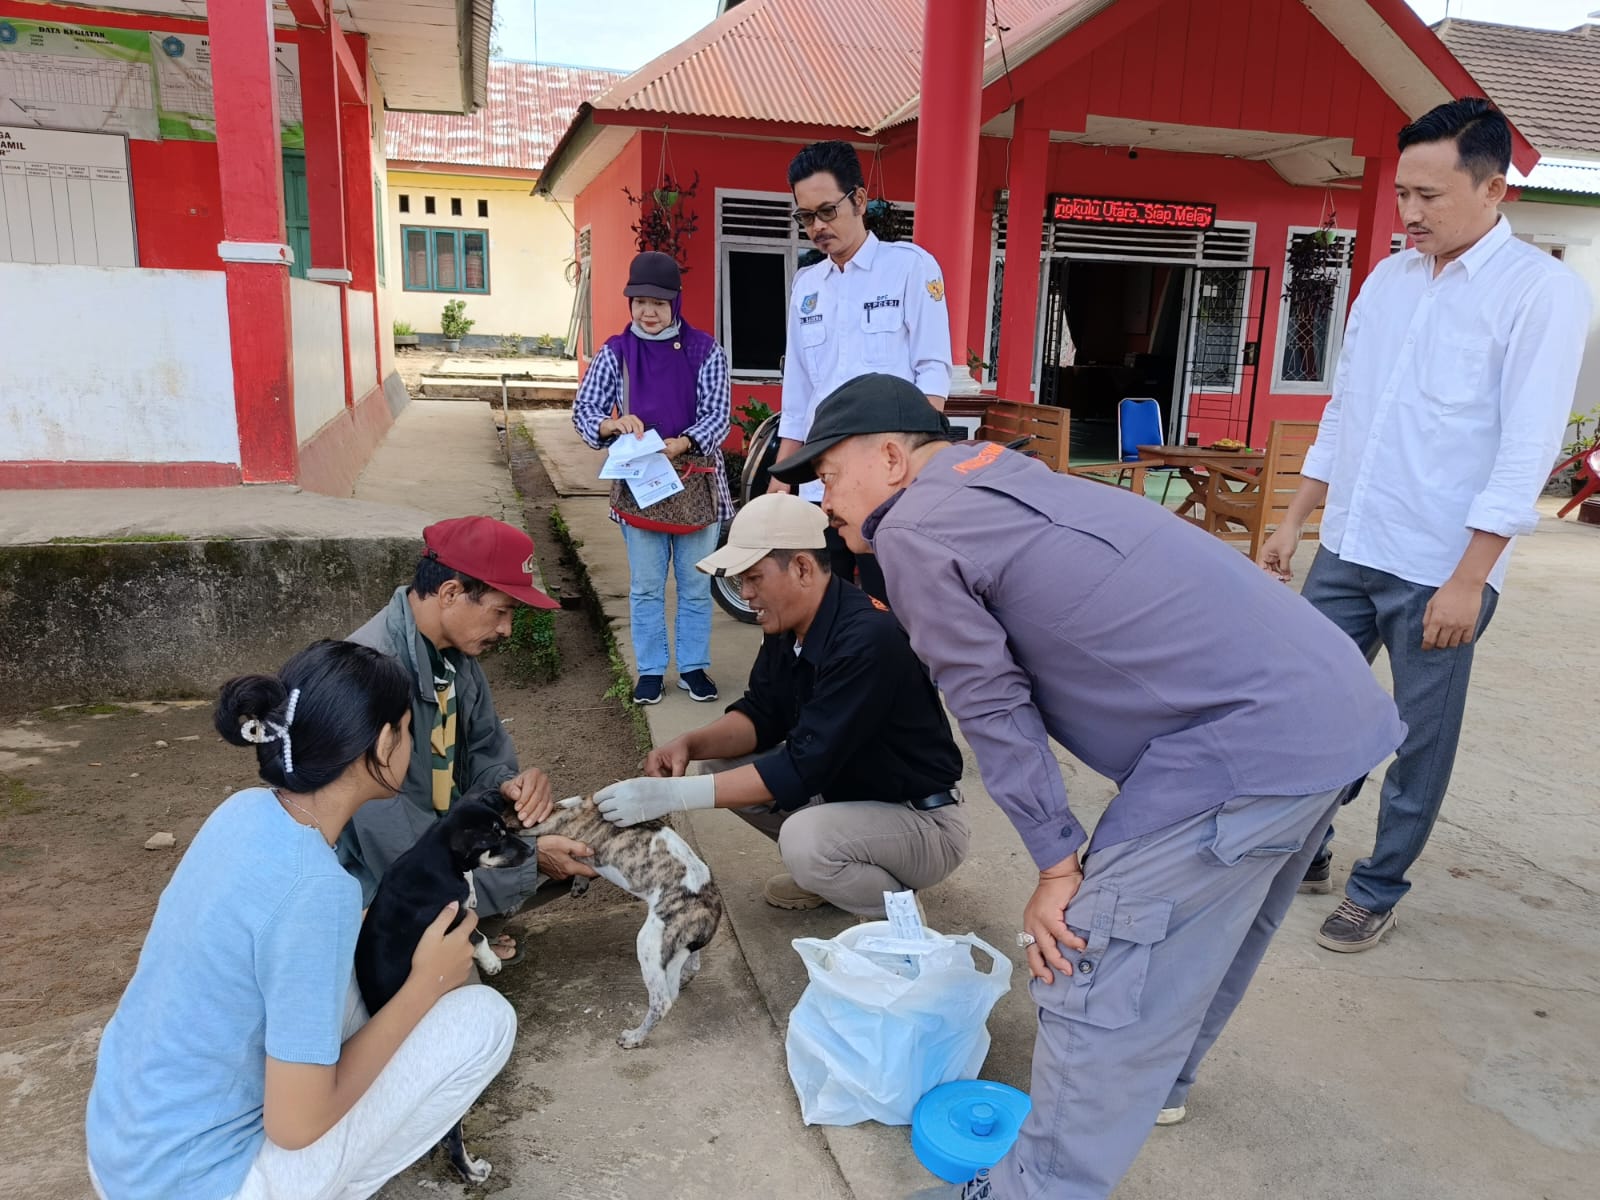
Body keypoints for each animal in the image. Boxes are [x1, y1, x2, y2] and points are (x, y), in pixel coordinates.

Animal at [355, 803, 531, 1190]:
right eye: (496, 836)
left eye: (504, 826)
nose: (530, 850)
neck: (438, 856)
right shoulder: (448, 920)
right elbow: (477, 932)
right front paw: (492, 960)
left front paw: (475, 891)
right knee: (452, 1139)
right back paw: (473, 1172)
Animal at [528, 803, 723, 1049]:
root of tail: (711, 910)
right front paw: (579, 882)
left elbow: (540, 868)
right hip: (679, 945)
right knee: (692, 966)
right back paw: (684, 979)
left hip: (649, 943)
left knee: (662, 1002)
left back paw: (635, 1037)